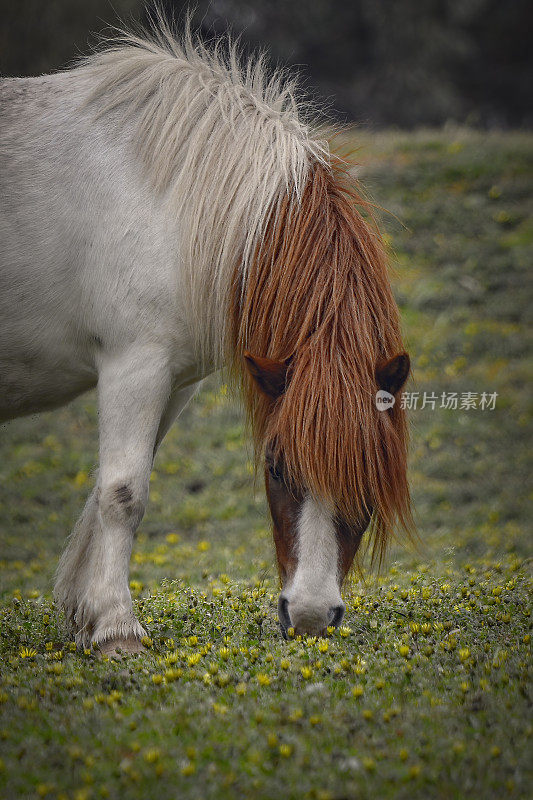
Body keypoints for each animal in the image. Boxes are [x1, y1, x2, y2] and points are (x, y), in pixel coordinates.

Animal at [0, 25, 412, 652]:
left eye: (367, 477)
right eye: (276, 468)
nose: (310, 616)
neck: (172, 201)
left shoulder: (172, 381)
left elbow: (108, 485)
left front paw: (84, 612)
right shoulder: (135, 364)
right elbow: (123, 493)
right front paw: (117, 629)